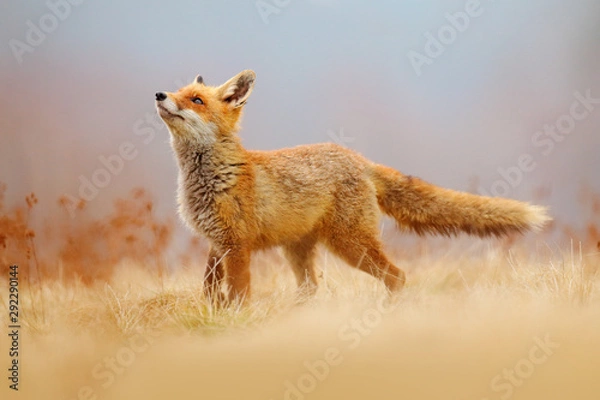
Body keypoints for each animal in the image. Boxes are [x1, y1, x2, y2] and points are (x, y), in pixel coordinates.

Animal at [155, 69, 548, 304]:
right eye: (179, 91)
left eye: (196, 100)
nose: (159, 94)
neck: (212, 178)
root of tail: (358, 158)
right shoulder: (216, 243)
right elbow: (209, 288)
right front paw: (212, 313)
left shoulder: (237, 245)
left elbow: (238, 293)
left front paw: (237, 319)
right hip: (299, 250)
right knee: (312, 288)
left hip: (349, 244)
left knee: (397, 276)